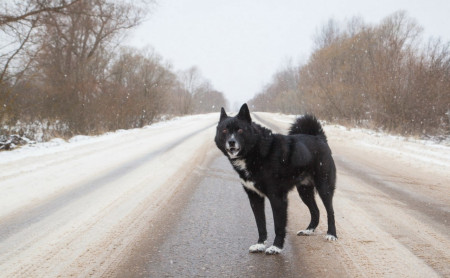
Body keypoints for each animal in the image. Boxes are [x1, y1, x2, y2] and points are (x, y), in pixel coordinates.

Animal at [214, 103, 338, 254]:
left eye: (240, 130)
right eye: (225, 130)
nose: (231, 142)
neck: (255, 151)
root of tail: (319, 138)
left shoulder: (277, 197)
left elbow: (278, 225)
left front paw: (276, 247)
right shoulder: (254, 197)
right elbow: (260, 224)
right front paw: (260, 244)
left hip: (324, 187)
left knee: (330, 211)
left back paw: (331, 234)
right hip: (304, 191)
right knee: (315, 211)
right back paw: (308, 230)